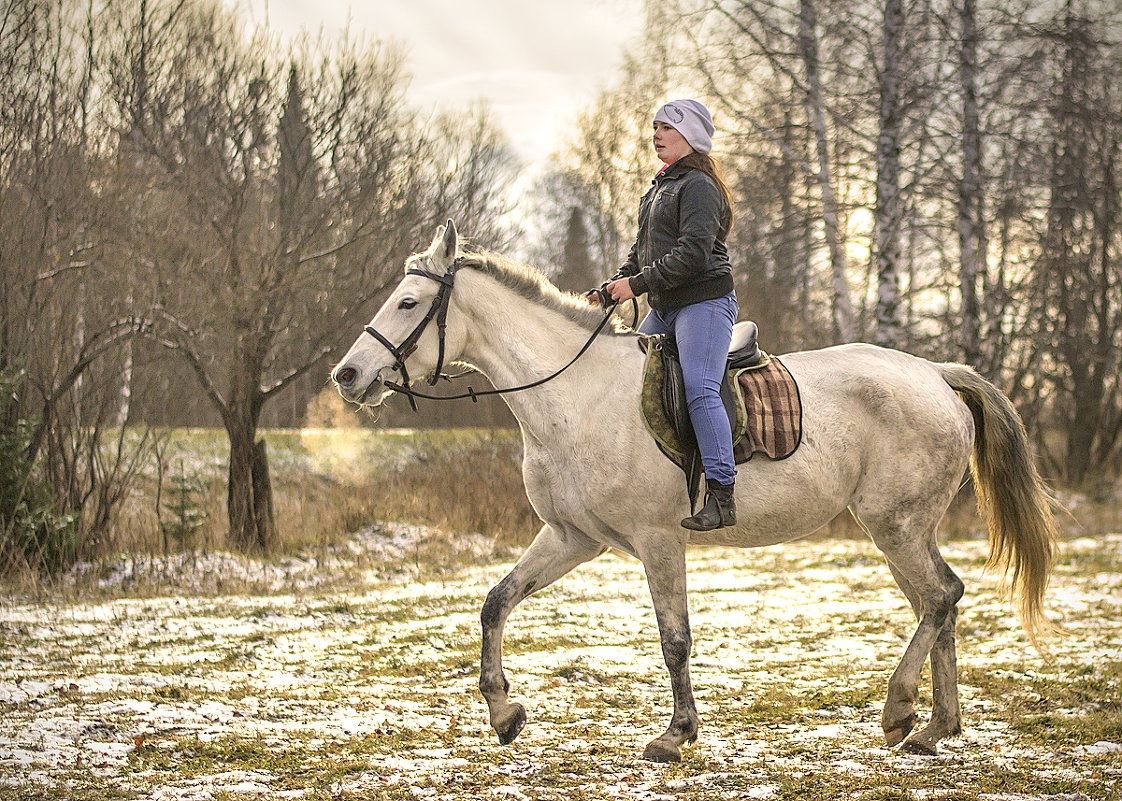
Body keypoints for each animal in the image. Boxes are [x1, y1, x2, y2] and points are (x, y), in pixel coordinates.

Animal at [327, 221, 1054, 758]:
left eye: (409, 303)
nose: (347, 375)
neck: (574, 395)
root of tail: (935, 372)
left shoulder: (658, 541)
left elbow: (673, 637)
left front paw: (675, 736)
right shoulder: (572, 537)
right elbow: (496, 602)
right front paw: (505, 713)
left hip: (895, 525)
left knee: (940, 597)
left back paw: (900, 710)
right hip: (902, 530)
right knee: (940, 603)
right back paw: (935, 728)